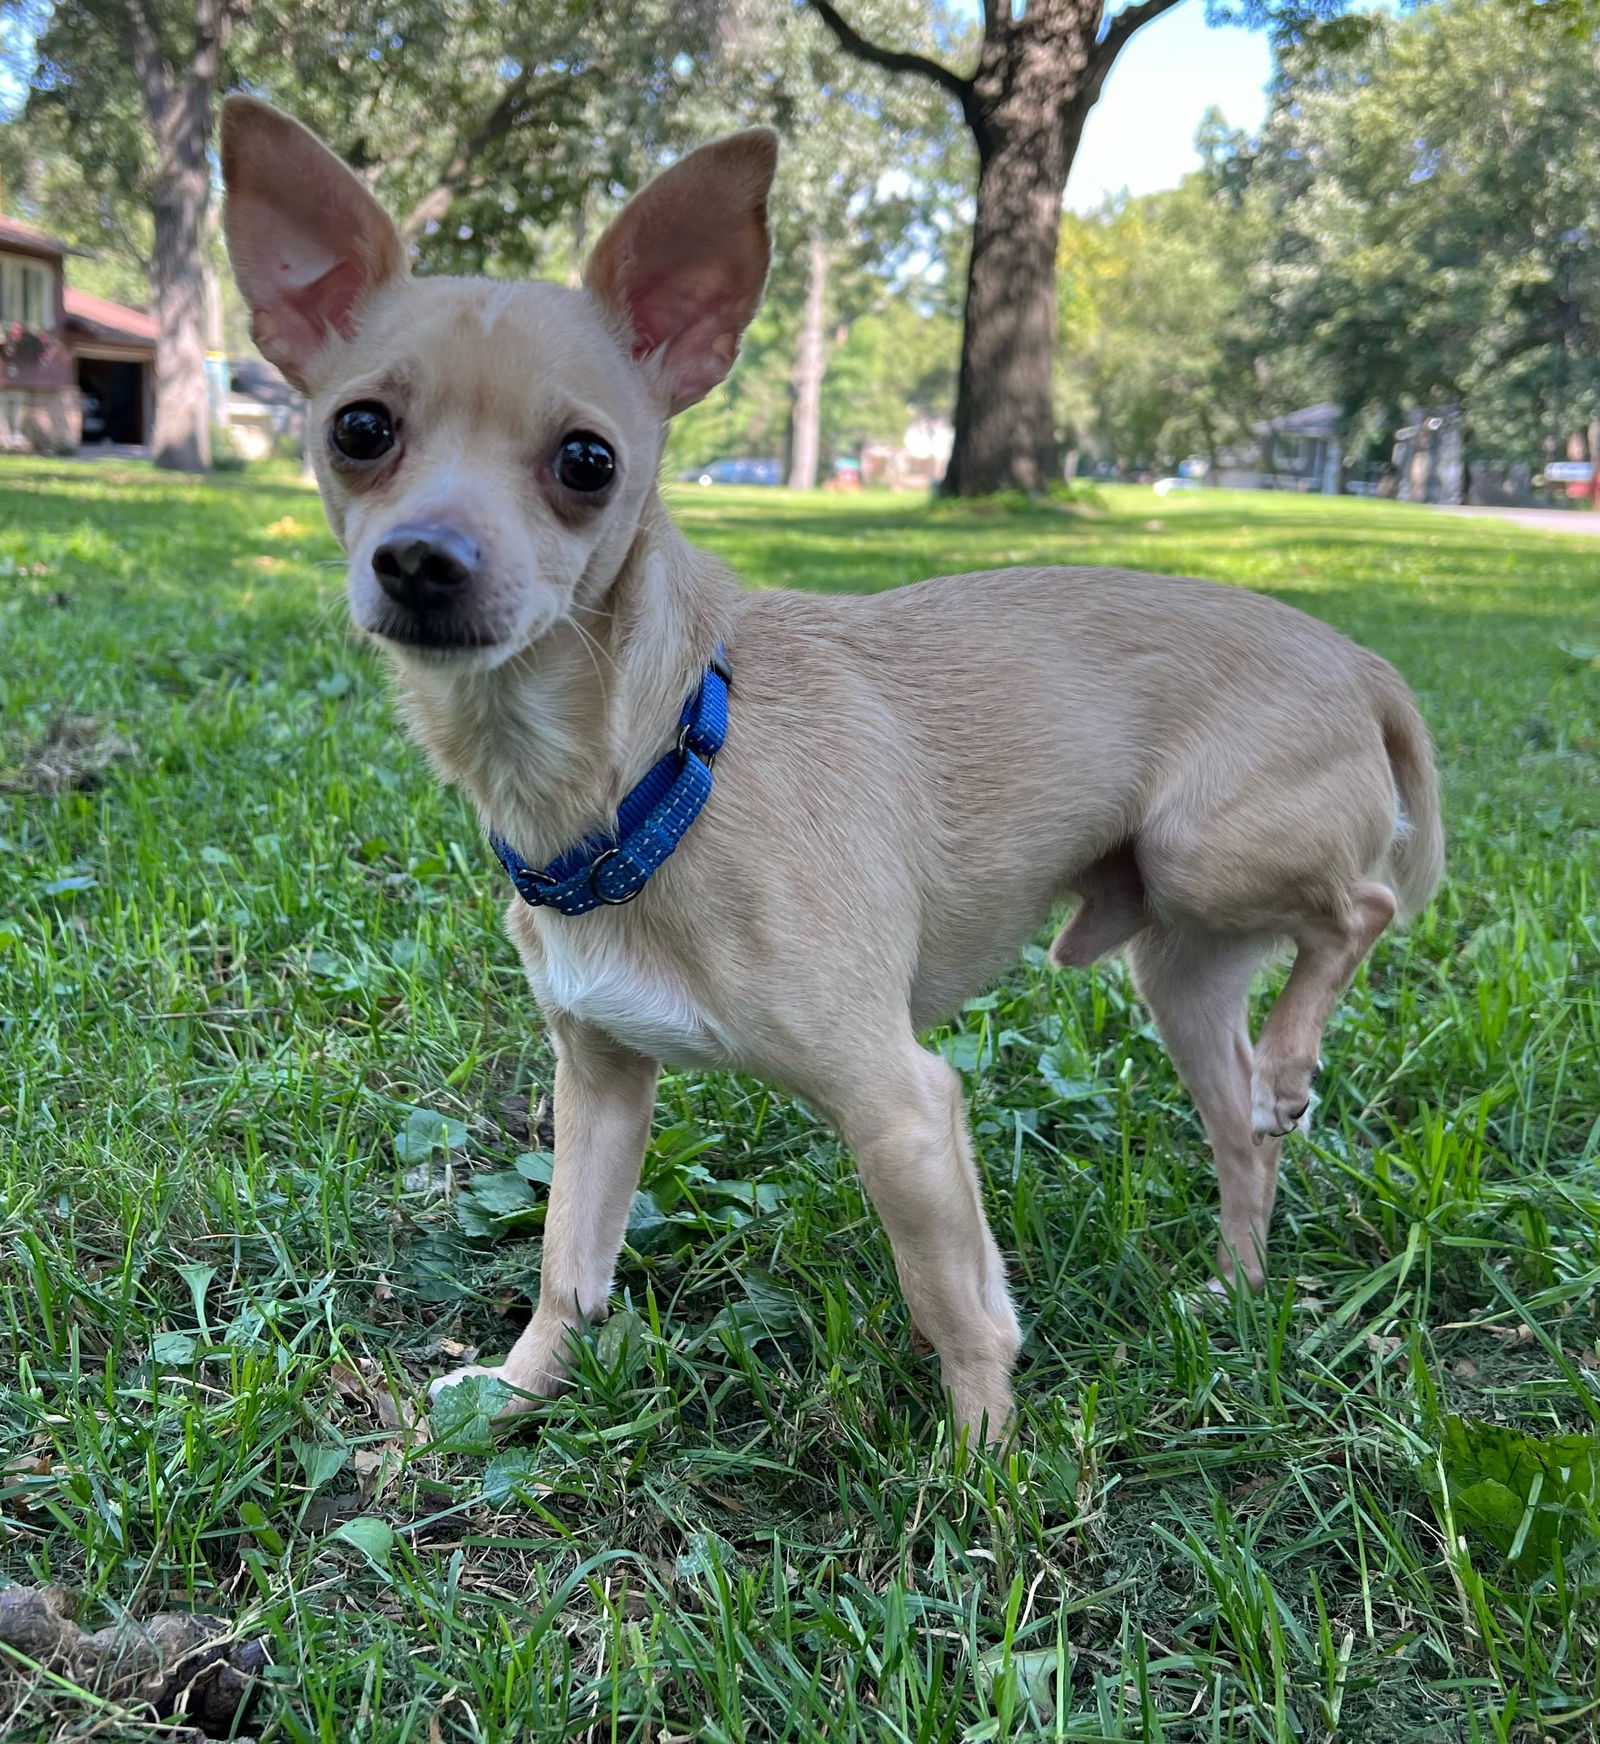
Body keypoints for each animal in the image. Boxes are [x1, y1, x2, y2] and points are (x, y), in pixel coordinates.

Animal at [218, 95, 1444, 1437]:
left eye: (588, 461)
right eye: (359, 430)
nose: (422, 559)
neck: (657, 770)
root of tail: (1358, 658)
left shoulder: (901, 1106)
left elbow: (955, 1302)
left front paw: (985, 1463)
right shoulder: (600, 1081)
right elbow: (570, 1260)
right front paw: (516, 1389)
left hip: (1203, 851)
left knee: (1361, 907)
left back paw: (1290, 1064)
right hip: (1180, 965)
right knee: (1243, 1129)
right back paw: (1233, 1283)